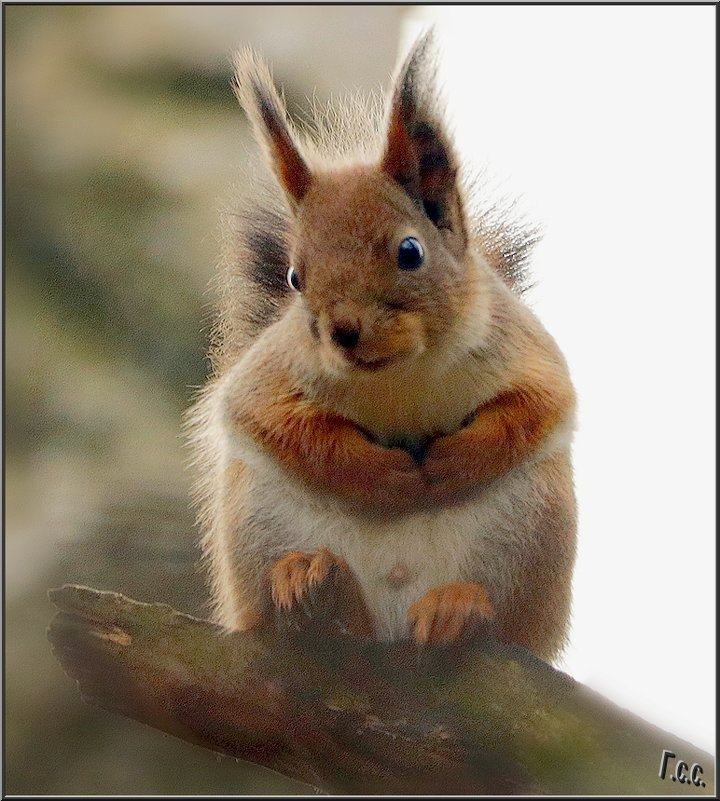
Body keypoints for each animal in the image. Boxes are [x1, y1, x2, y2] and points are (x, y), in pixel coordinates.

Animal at [187, 31, 580, 664]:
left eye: (410, 252)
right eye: (295, 277)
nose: (343, 332)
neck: (400, 375)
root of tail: (393, 621)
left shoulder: (526, 350)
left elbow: (534, 407)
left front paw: (452, 461)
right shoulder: (270, 375)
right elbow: (279, 422)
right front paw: (383, 474)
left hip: (534, 528)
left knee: (501, 616)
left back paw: (458, 609)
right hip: (257, 522)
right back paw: (311, 587)